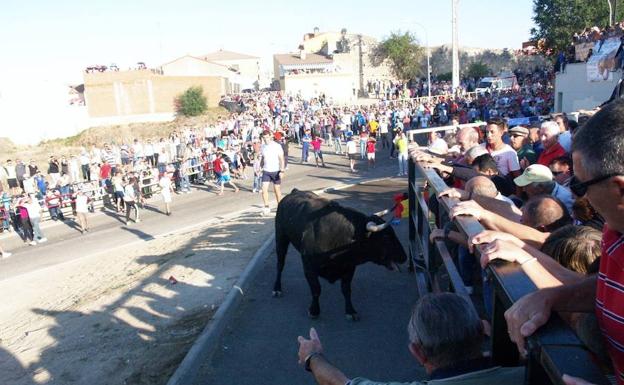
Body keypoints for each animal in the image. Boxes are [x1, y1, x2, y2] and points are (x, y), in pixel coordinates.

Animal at [270, 188, 408, 318]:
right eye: (385, 237)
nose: (404, 257)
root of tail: (294, 192)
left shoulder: (349, 267)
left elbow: (346, 290)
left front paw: (350, 311)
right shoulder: (308, 266)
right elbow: (316, 289)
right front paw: (314, 311)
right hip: (281, 238)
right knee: (280, 264)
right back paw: (277, 288)